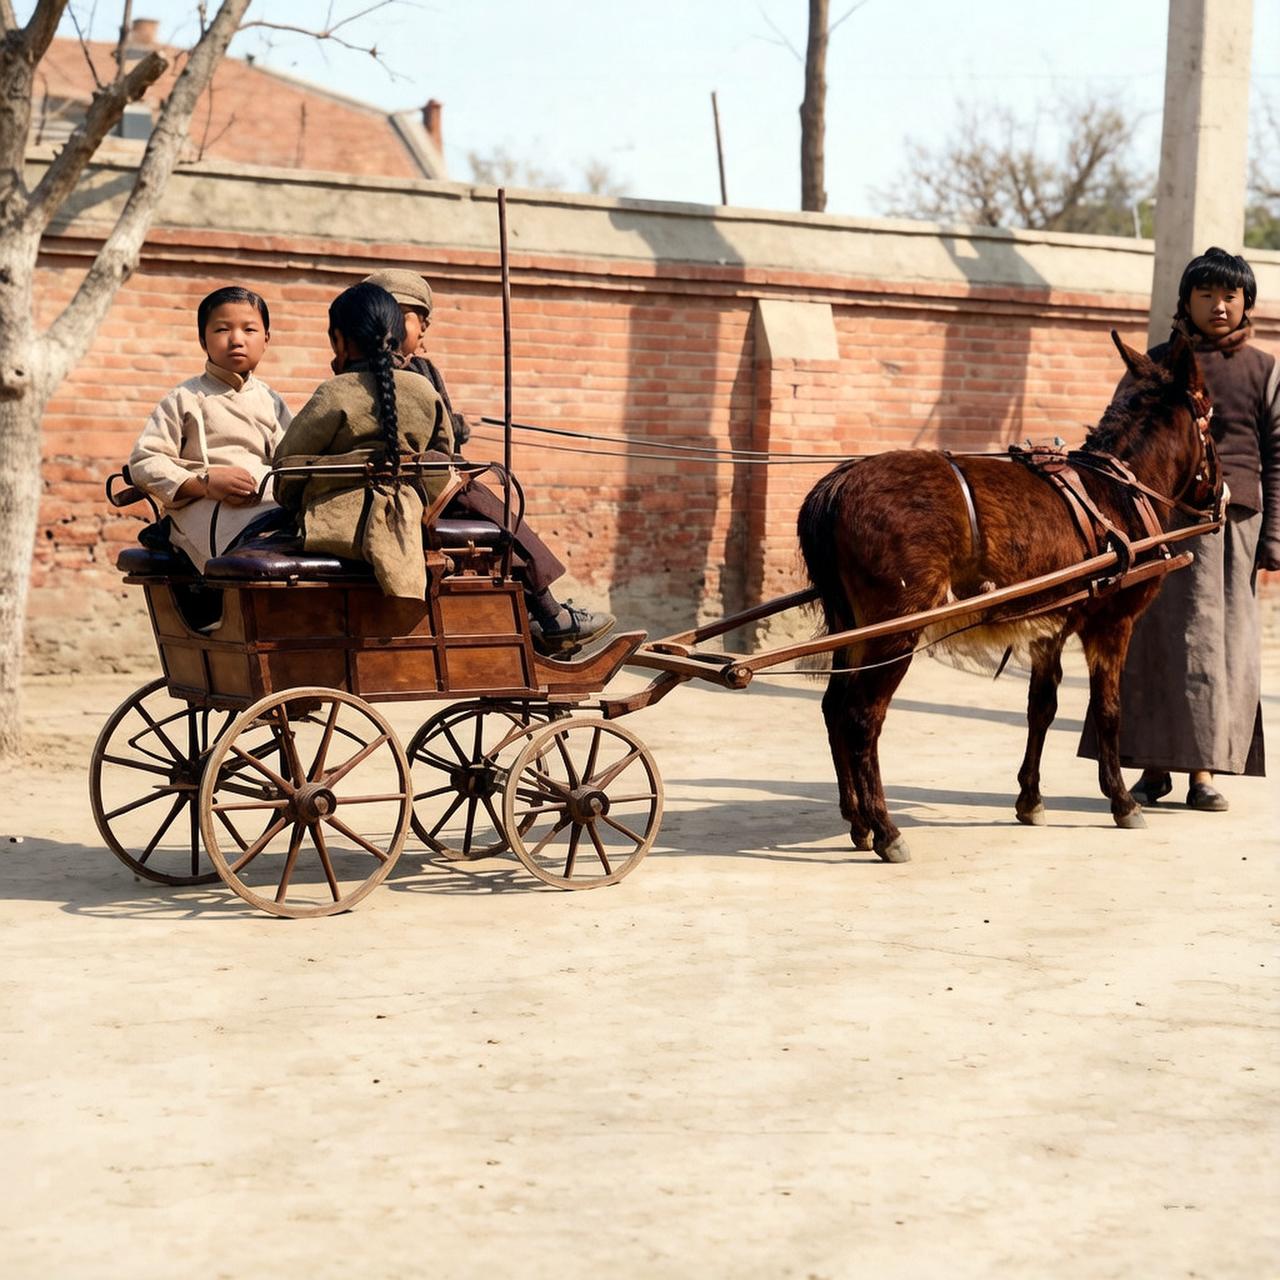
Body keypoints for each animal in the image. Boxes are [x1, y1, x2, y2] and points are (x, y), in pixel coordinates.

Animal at [796, 331, 1221, 863]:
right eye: (1212, 419)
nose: (1223, 495)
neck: (1117, 491)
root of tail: (837, 483)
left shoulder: (1049, 627)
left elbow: (1042, 706)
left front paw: (1030, 799)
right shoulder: (1112, 624)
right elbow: (1107, 710)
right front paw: (1122, 801)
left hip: (852, 626)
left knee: (835, 708)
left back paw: (858, 823)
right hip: (895, 630)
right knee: (860, 718)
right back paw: (886, 830)